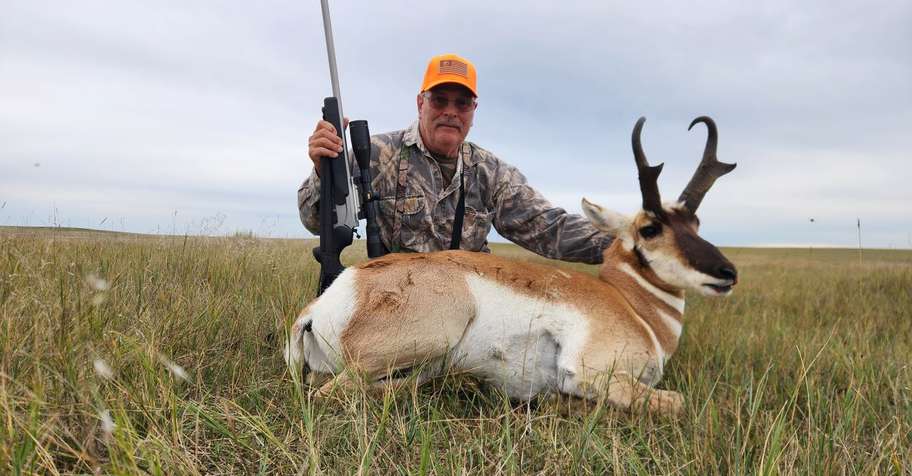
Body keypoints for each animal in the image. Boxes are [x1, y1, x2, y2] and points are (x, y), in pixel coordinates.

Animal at [286, 116, 738, 416]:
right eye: (650, 228)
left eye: (696, 223)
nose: (727, 273)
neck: (631, 305)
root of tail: (329, 298)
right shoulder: (588, 370)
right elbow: (676, 401)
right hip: (435, 333)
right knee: (333, 392)